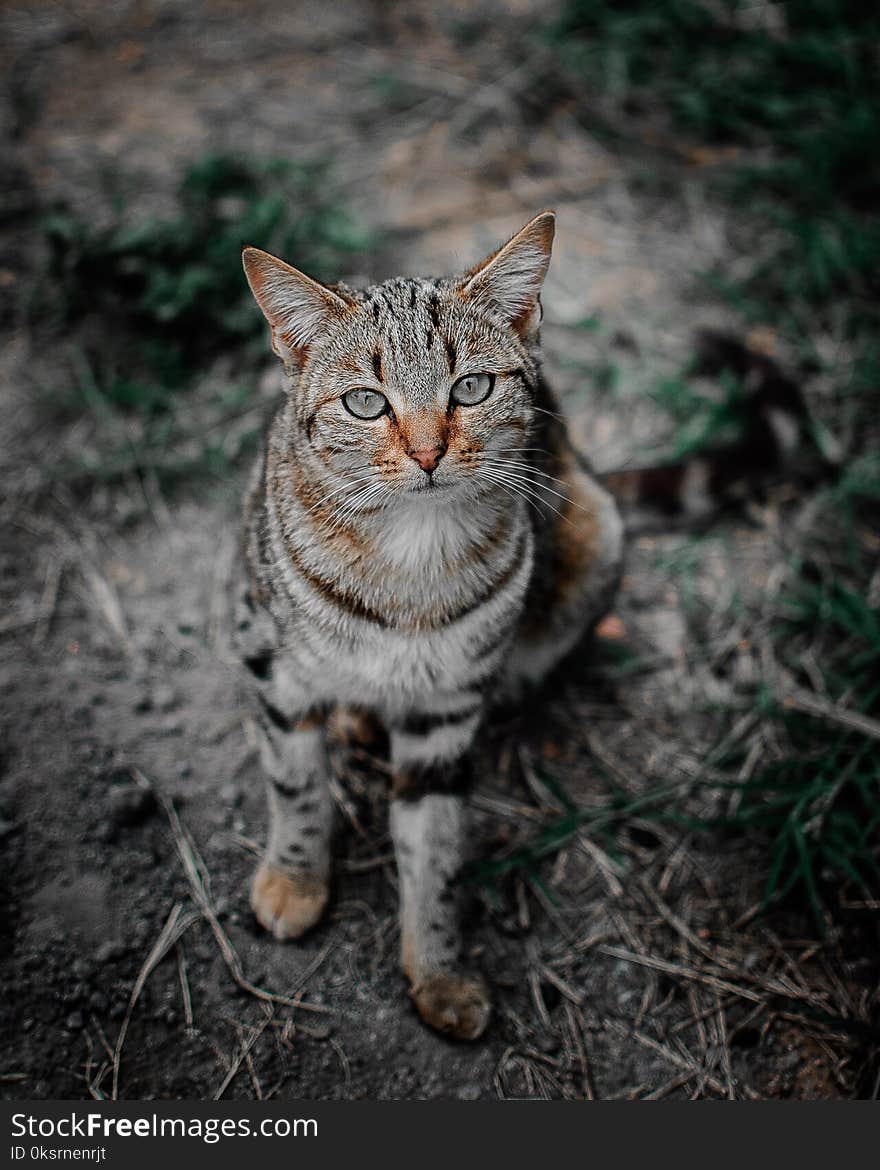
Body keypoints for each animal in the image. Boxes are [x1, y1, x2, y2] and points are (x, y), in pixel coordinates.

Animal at [235, 212, 627, 1043]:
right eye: (365, 403)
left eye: (471, 387)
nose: (425, 451)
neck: (410, 558)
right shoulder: (270, 658)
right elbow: (295, 784)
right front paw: (294, 879)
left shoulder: (445, 715)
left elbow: (436, 849)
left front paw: (440, 969)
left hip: (596, 534)